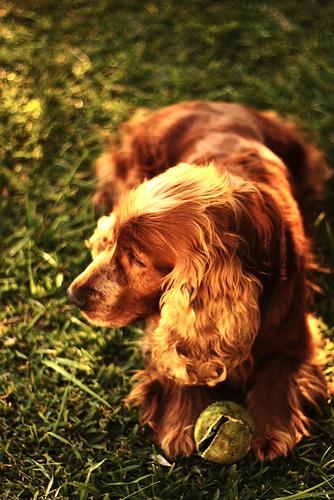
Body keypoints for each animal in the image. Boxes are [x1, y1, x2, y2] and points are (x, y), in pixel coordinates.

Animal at [67, 101, 328, 460]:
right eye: (115, 242)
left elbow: (278, 370)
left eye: (137, 259)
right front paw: (181, 423)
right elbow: (177, 361)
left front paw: (273, 430)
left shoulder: (295, 331)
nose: (74, 295)